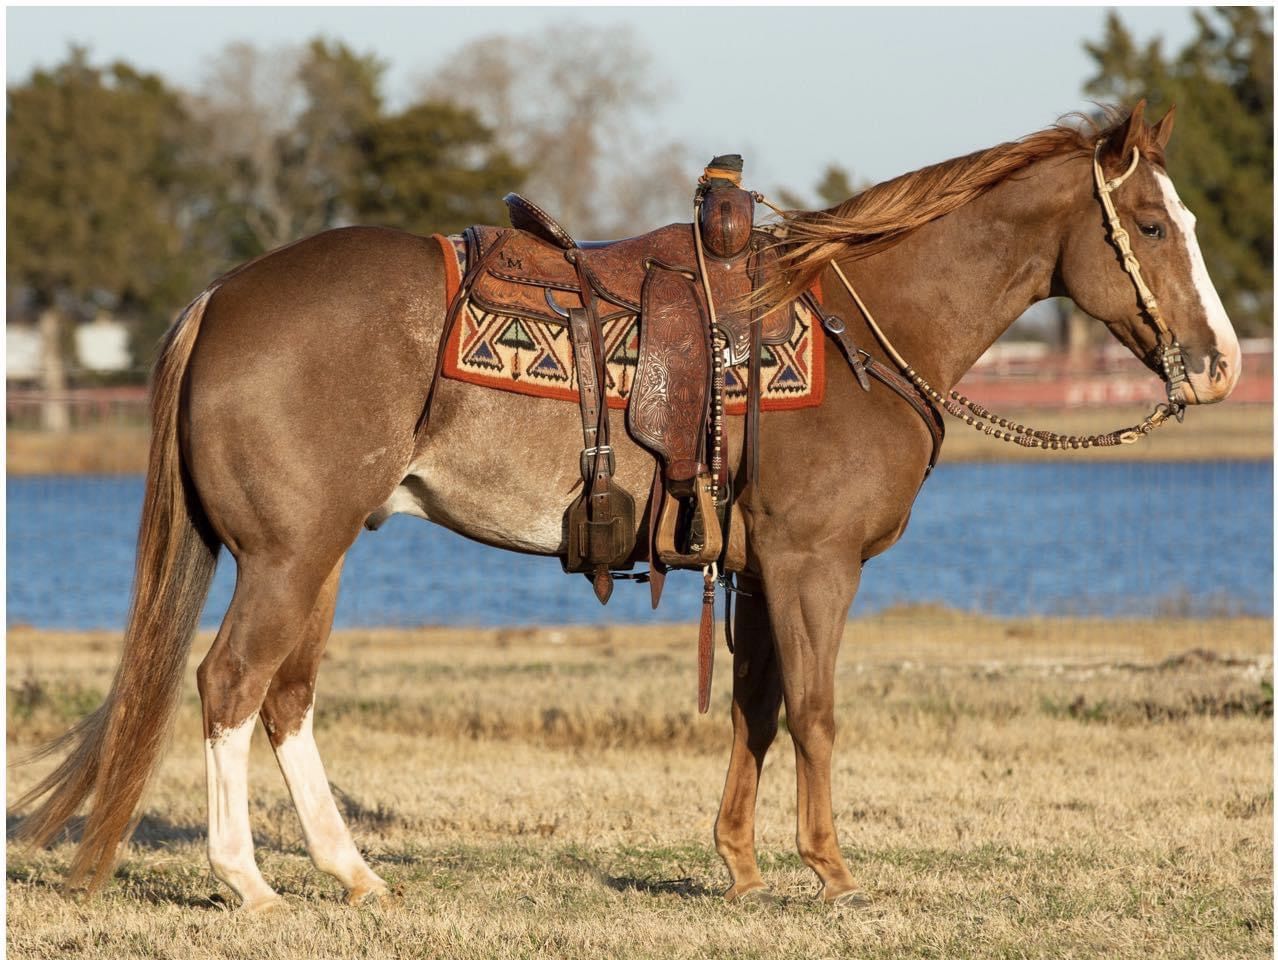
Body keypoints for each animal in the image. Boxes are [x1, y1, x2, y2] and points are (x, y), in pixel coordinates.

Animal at [12, 103, 1237, 910]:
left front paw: (740, 865)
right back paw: (248, 884)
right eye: (1155, 226)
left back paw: (350, 874)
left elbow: (754, 709)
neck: (863, 326)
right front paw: (831, 871)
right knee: (228, 685)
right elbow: (815, 710)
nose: (1223, 362)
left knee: (284, 700)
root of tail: (224, 293)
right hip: (285, 554)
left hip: (318, 555)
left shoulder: (754, 570)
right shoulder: (814, 564)